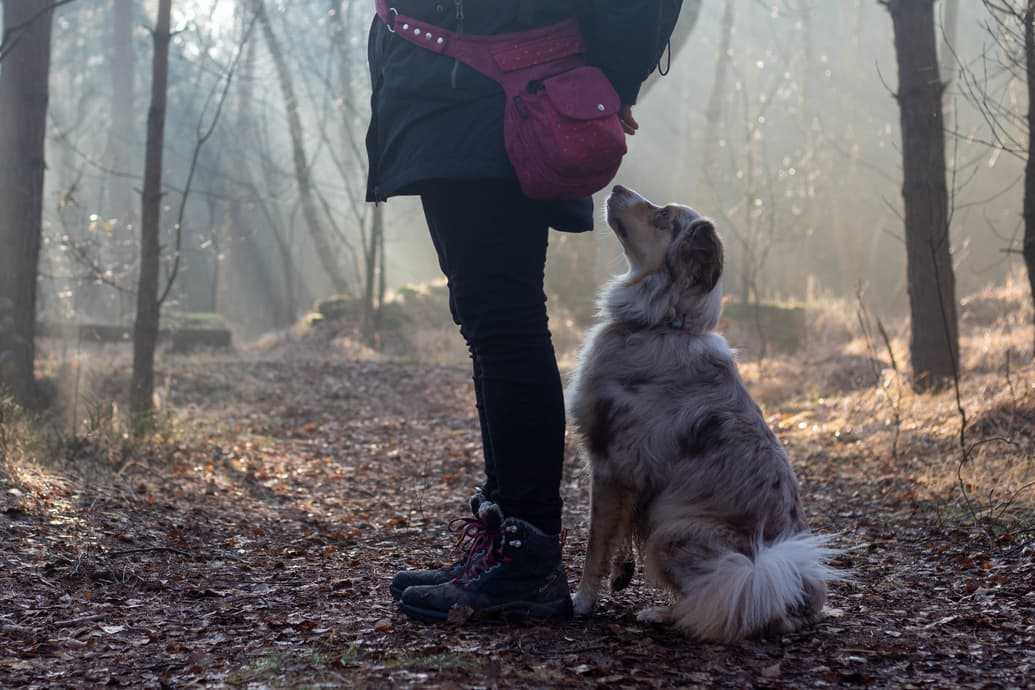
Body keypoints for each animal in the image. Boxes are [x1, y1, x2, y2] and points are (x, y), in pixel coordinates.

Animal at [567, 185, 840, 641]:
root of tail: (792, 596)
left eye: (663, 216)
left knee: (719, 601)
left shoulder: (608, 464)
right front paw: (622, 570)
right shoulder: (629, 479)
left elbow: (595, 543)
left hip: (674, 533)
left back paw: (663, 614)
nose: (617, 187)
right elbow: (621, 531)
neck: (664, 323)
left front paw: (582, 601)